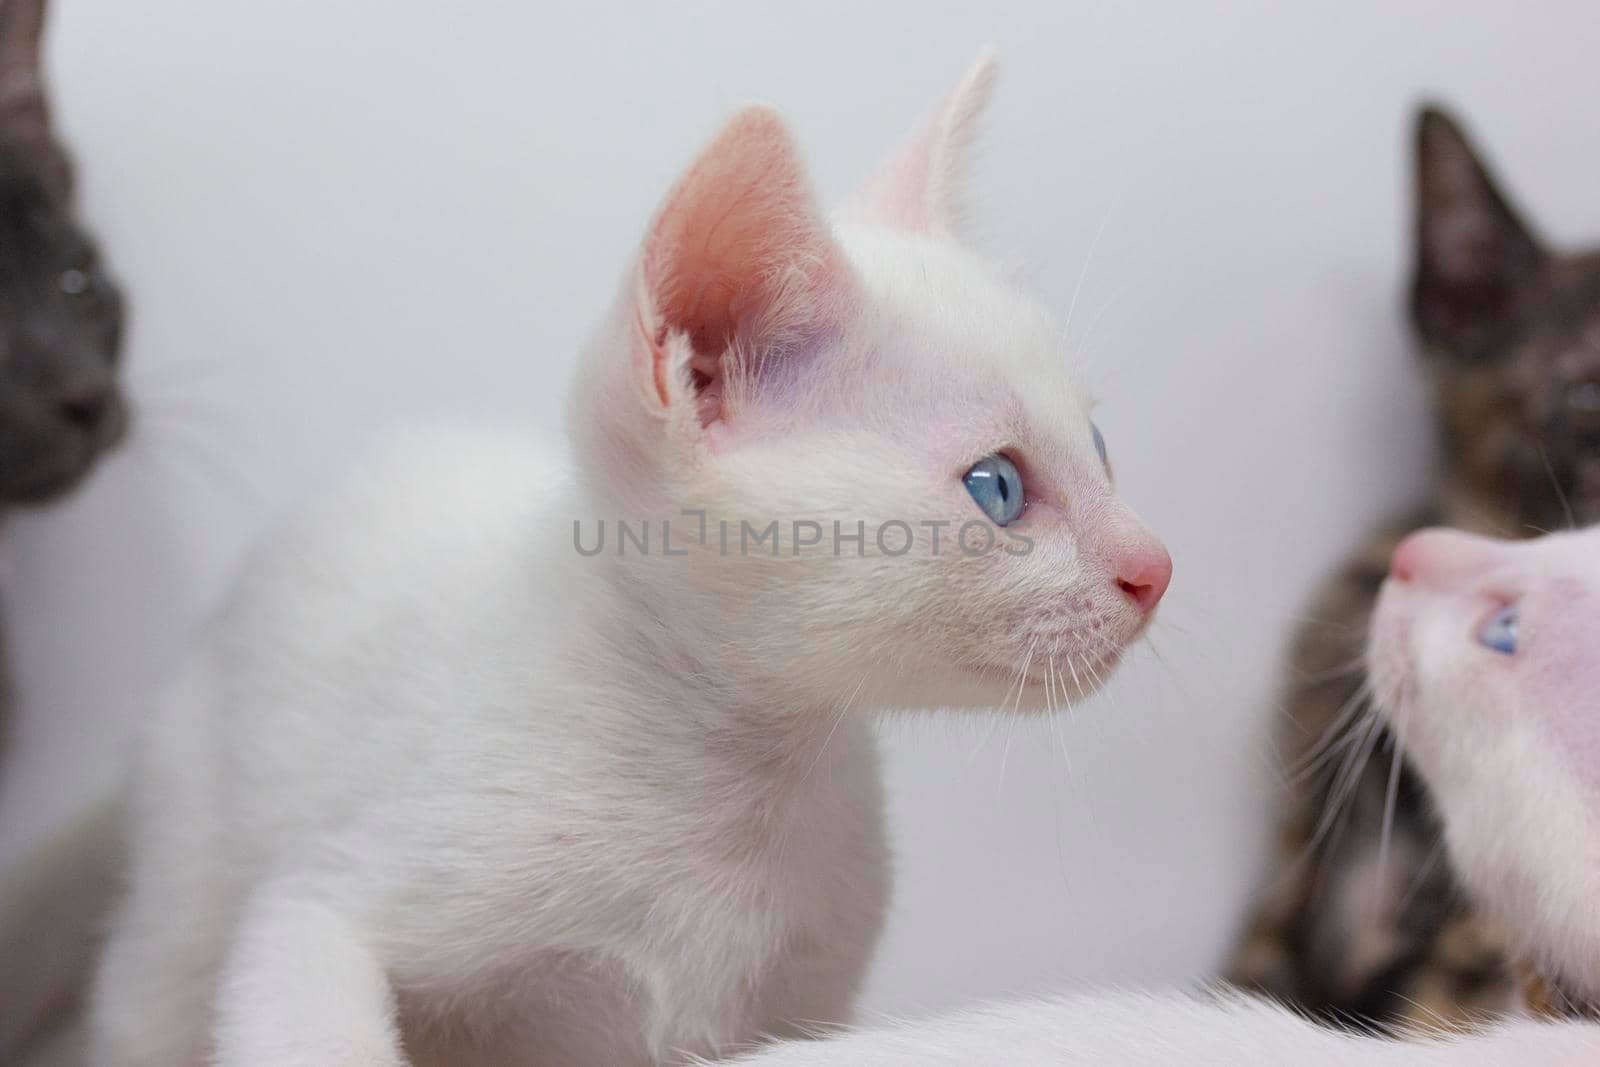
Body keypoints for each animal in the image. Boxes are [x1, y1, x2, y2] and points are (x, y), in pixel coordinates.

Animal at [87, 60, 1171, 1067]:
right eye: (997, 485)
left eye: (1099, 445)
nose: (1155, 566)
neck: (731, 786)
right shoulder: (323, 905)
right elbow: (316, 1002)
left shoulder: (787, 1013)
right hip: (186, 887)